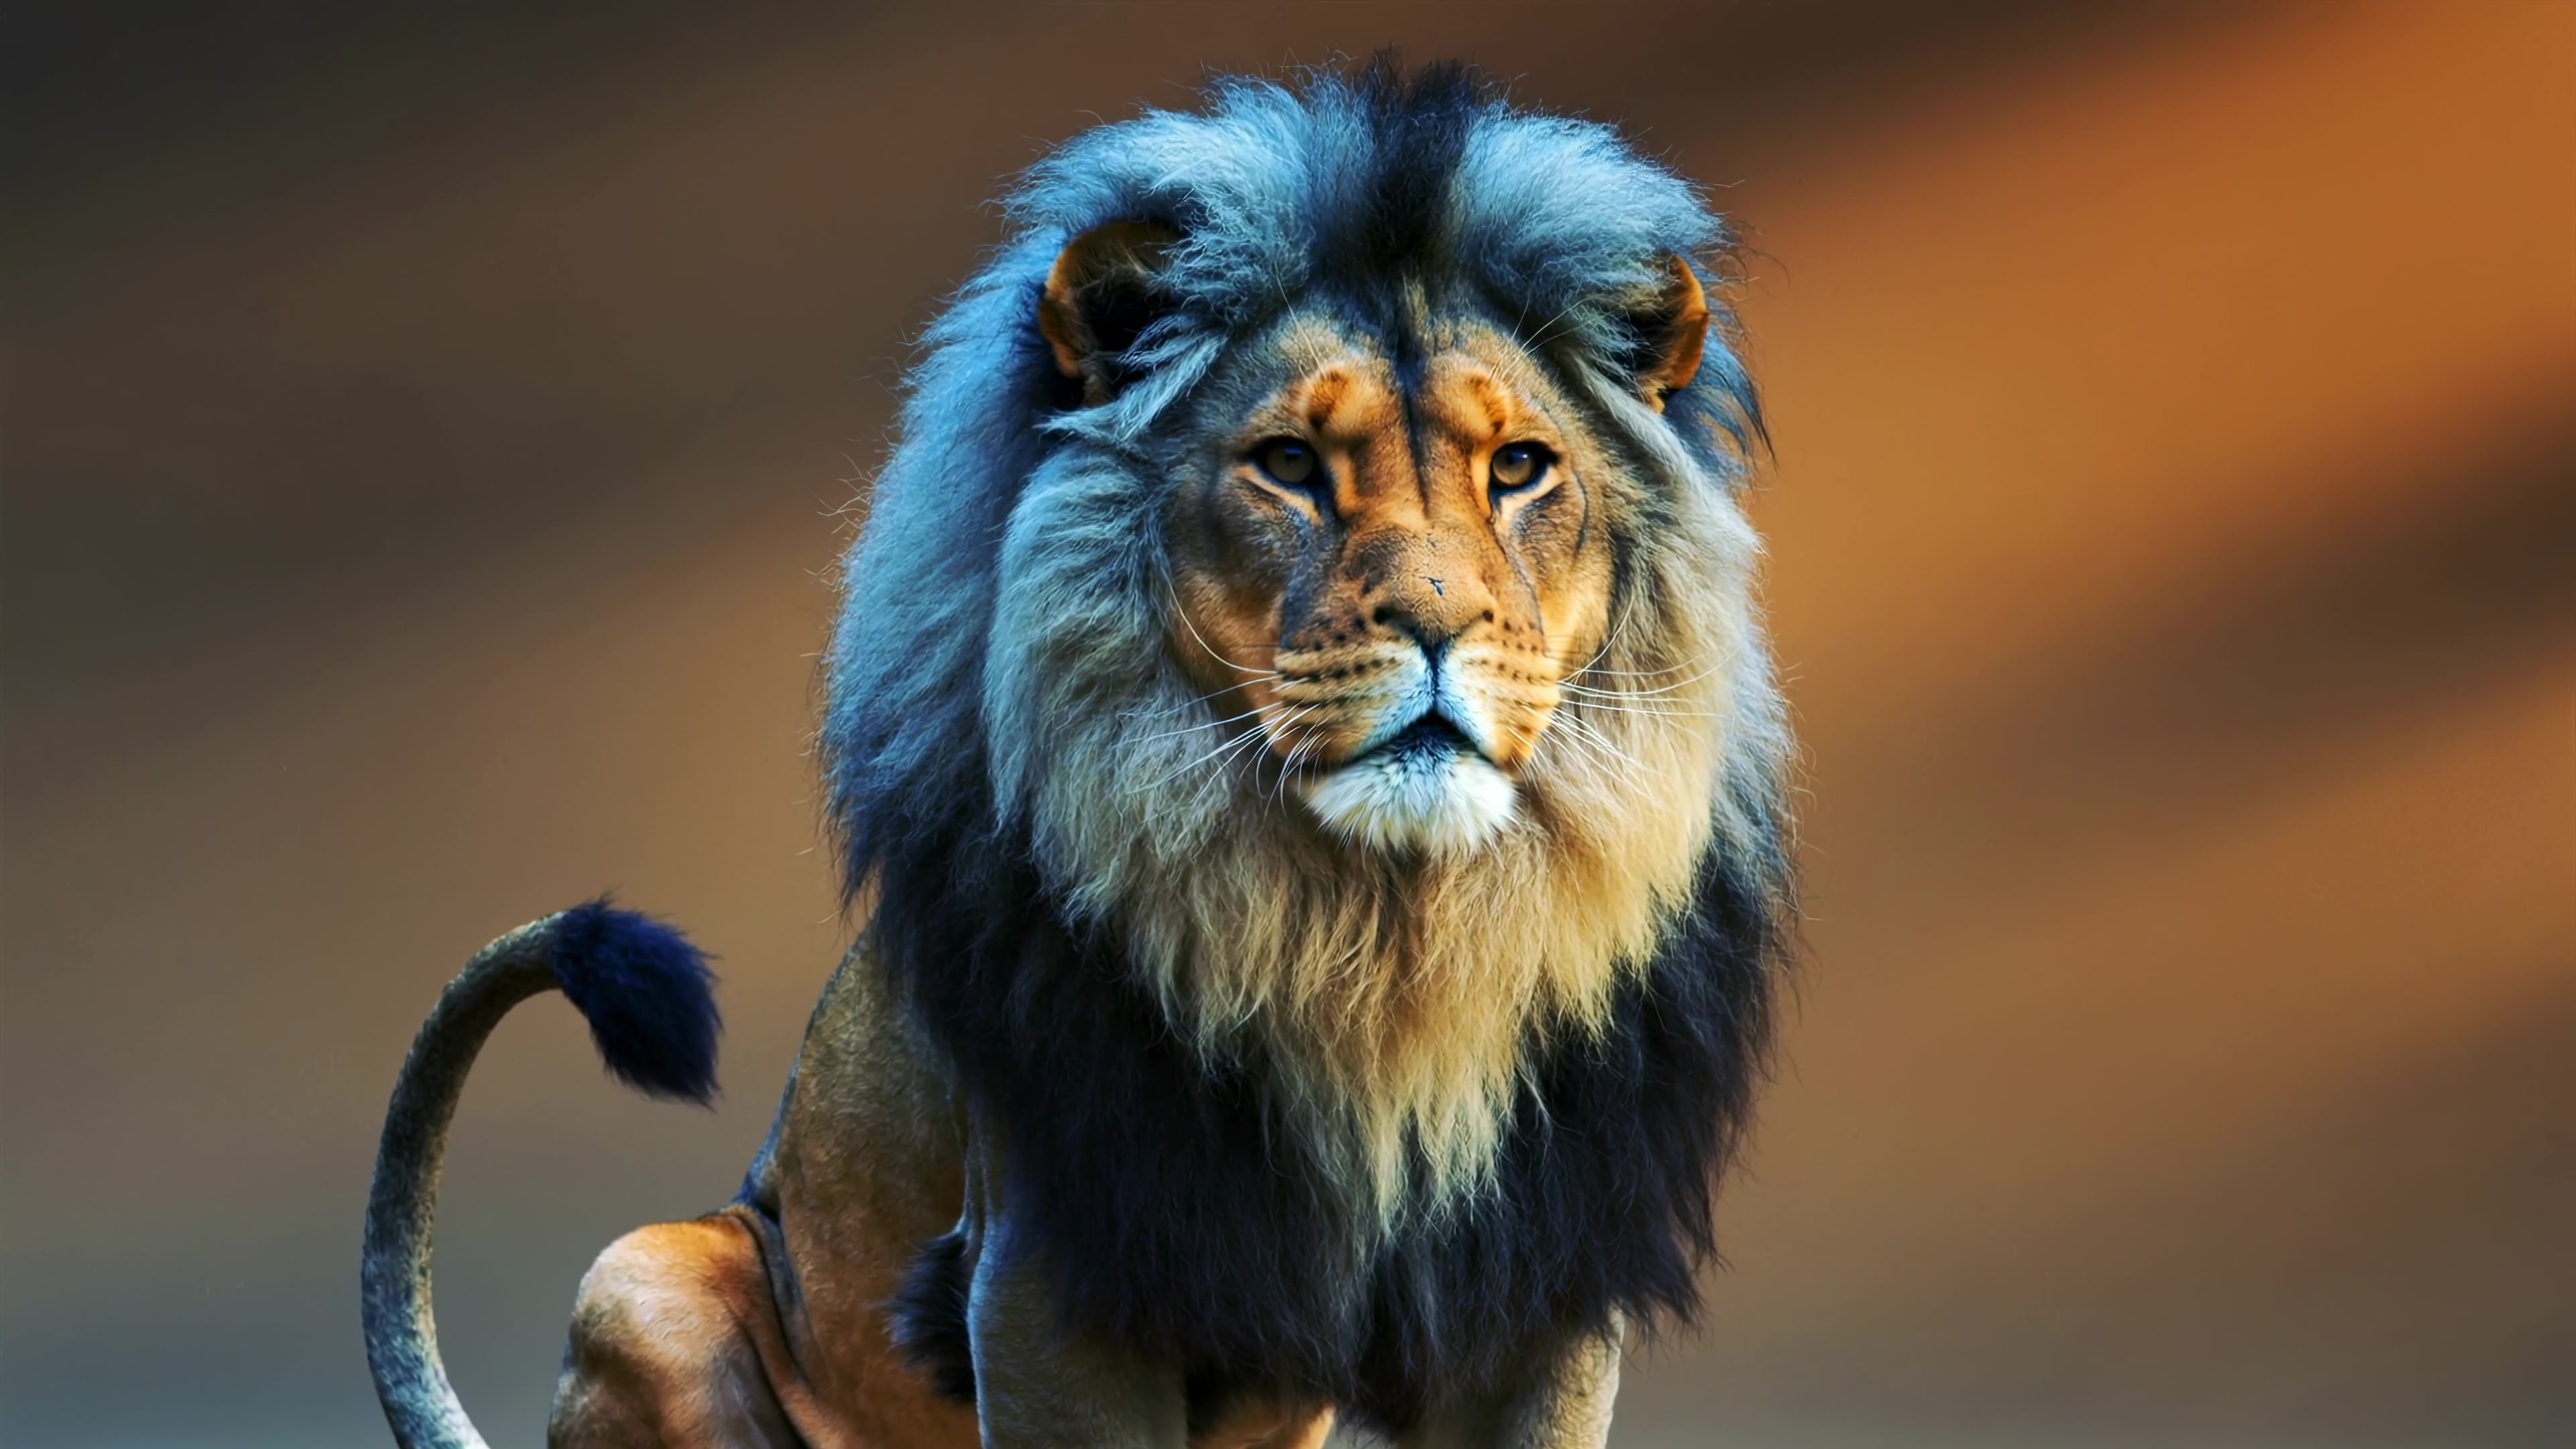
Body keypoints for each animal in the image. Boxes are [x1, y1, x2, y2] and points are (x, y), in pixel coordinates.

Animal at [362, 60, 1793, 1448]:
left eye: (1520, 470)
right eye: (1288, 465)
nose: (1436, 623)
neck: (1383, 939)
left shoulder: (1549, 1283)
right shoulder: (1054, 1275)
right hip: (641, 1276)